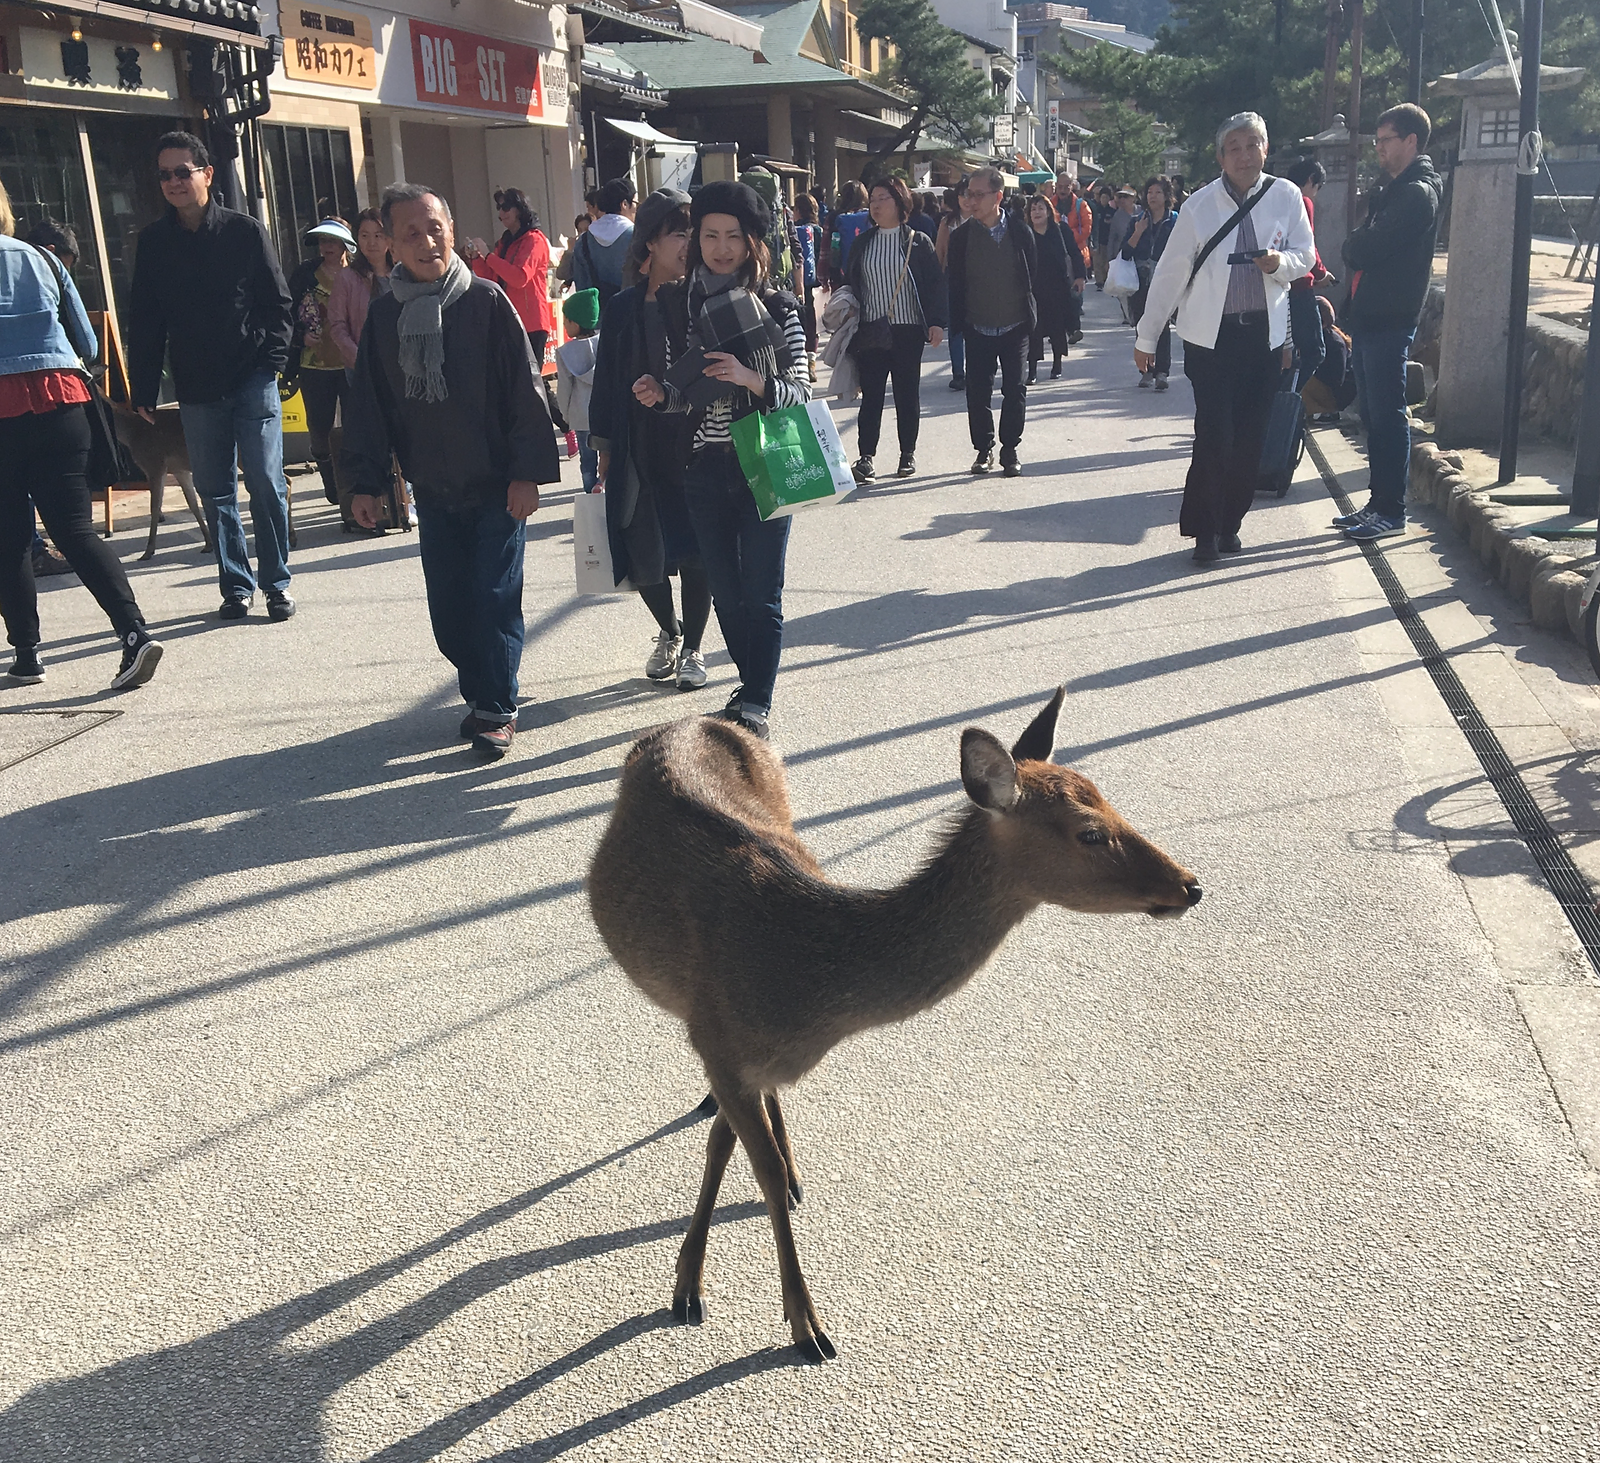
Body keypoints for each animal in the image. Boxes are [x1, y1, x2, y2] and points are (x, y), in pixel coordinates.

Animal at [586, 688, 1201, 1364]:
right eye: (1090, 831)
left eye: (1109, 801)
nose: (1190, 884)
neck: (804, 988)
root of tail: (697, 717)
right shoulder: (718, 1041)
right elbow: (752, 1164)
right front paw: (793, 1322)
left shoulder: (738, 1057)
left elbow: (733, 1146)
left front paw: (707, 1275)